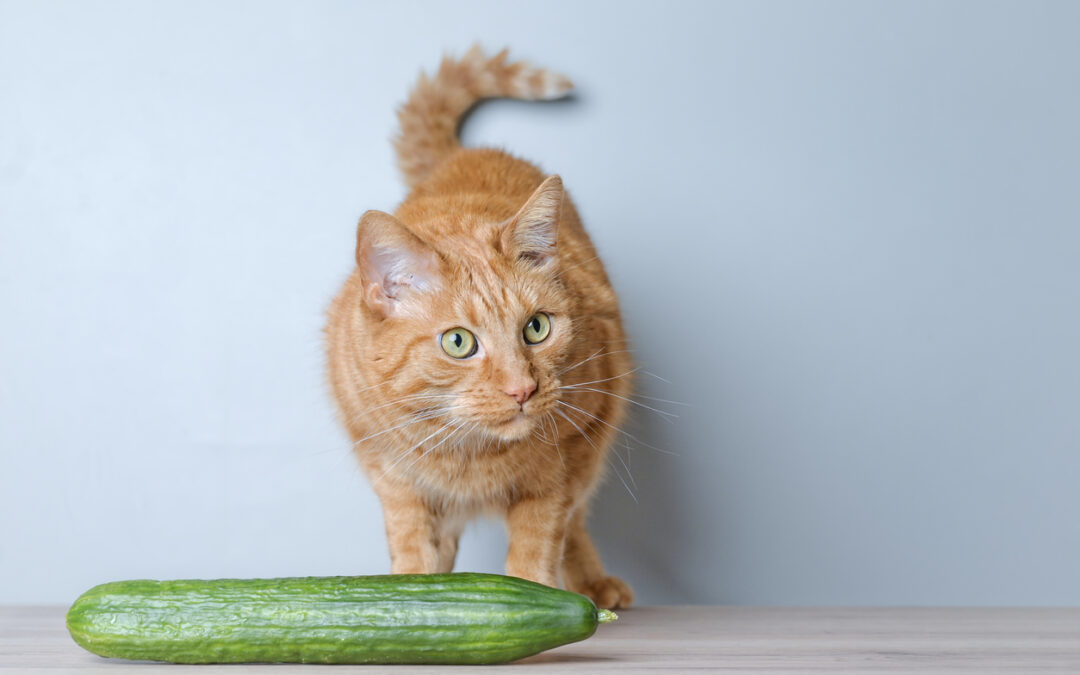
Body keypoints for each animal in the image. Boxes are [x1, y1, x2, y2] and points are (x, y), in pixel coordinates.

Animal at [324, 44, 635, 609]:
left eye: (537, 329)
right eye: (458, 342)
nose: (522, 390)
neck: (468, 451)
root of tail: (464, 154)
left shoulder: (565, 465)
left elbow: (540, 546)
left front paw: (542, 600)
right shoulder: (393, 476)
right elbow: (414, 547)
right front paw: (413, 598)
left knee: (577, 521)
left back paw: (594, 585)